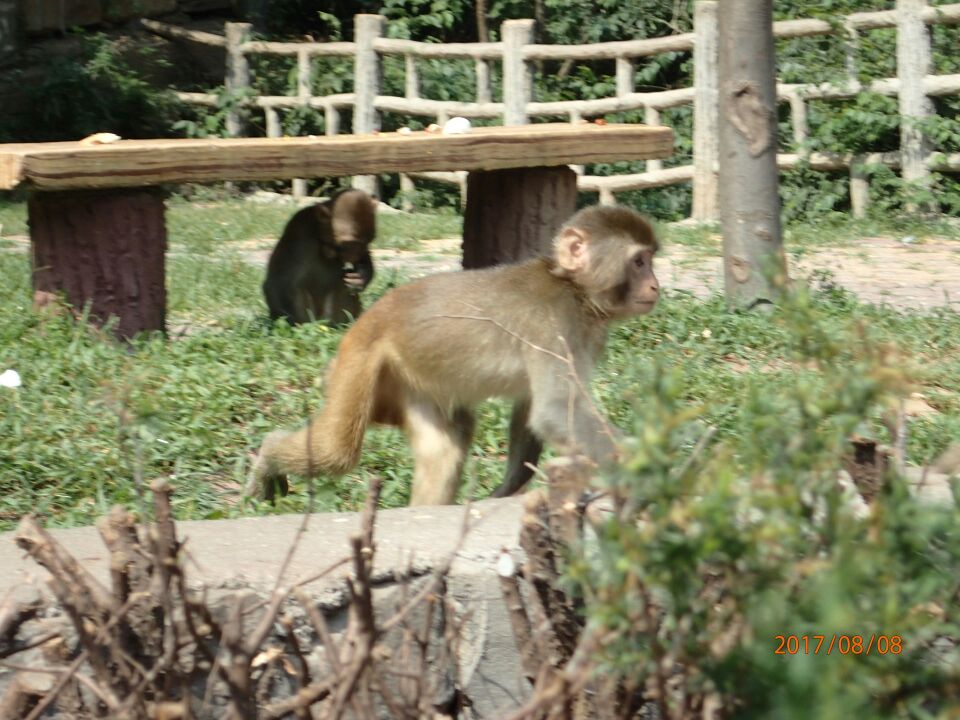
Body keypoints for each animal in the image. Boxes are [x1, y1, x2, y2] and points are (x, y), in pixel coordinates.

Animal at [264, 191, 380, 326]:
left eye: (367, 241)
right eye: (349, 244)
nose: (356, 254)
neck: (320, 236)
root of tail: (320, 321)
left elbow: (363, 261)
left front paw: (359, 279)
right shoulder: (298, 229)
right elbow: (280, 278)